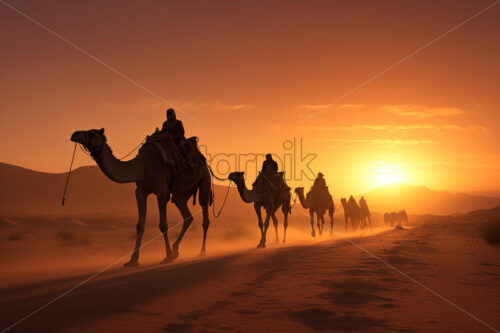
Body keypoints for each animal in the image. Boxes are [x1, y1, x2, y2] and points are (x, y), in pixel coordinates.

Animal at [70, 128, 211, 266]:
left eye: (92, 133)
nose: (74, 134)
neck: (143, 166)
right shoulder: (140, 192)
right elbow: (140, 226)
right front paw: (133, 260)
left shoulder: (161, 192)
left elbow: (163, 225)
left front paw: (168, 256)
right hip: (181, 193)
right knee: (187, 215)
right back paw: (176, 249)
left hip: (204, 179)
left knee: (204, 214)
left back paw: (201, 251)